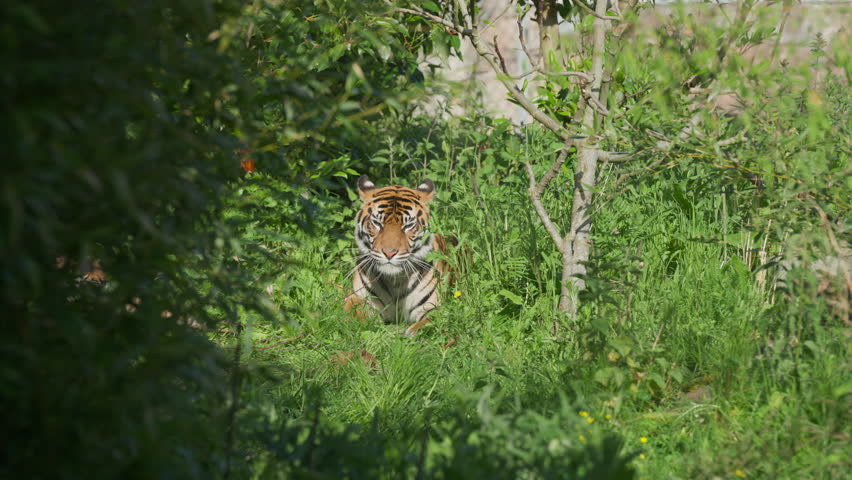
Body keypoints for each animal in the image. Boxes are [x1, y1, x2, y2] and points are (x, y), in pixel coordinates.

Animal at [344, 175, 453, 337]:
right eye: (377, 223)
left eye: (408, 226)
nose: (389, 252)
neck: (394, 281)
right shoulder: (357, 297)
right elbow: (350, 310)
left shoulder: (433, 306)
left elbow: (431, 321)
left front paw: (412, 331)